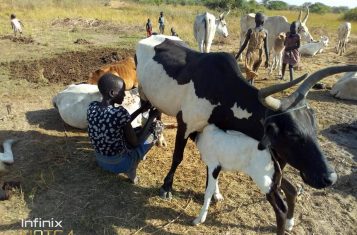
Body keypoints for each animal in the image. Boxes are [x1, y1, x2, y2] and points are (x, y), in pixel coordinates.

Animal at [134, 35, 356, 235]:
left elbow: (212, 168)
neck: (221, 89)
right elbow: (177, 157)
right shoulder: (185, 123)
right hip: (145, 95)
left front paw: (215, 193)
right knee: (148, 113)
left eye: (314, 126)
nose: (330, 177)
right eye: (292, 133)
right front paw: (167, 187)